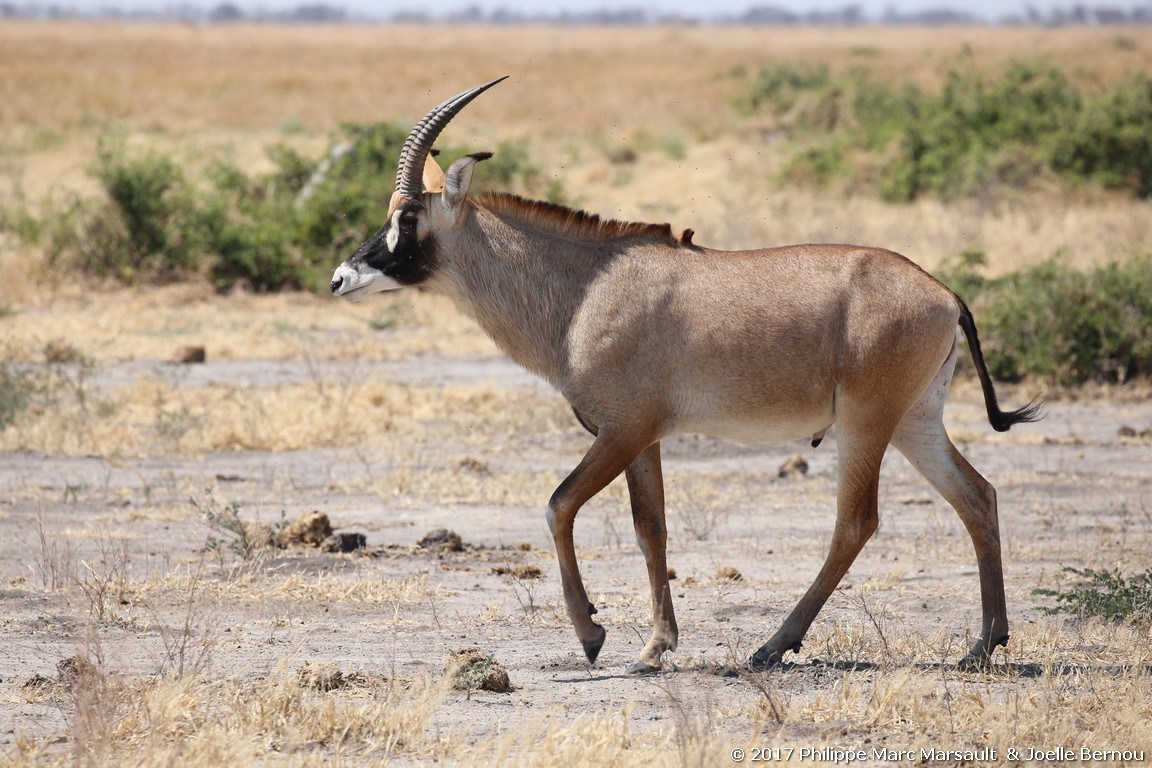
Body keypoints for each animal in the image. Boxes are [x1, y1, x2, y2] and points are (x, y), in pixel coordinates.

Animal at [329, 79, 1041, 672]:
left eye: (408, 217)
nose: (340, 278)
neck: (584, 289)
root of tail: (944, 294)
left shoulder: (621, 429)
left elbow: (559, 505)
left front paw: (593, 635)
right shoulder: (641, 438)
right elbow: (651, 528)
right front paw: (654, 646)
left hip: (868, 421)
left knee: (856, 522)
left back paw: (773, 646)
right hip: (916, 421)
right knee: (977, 497)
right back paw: (983, 644)